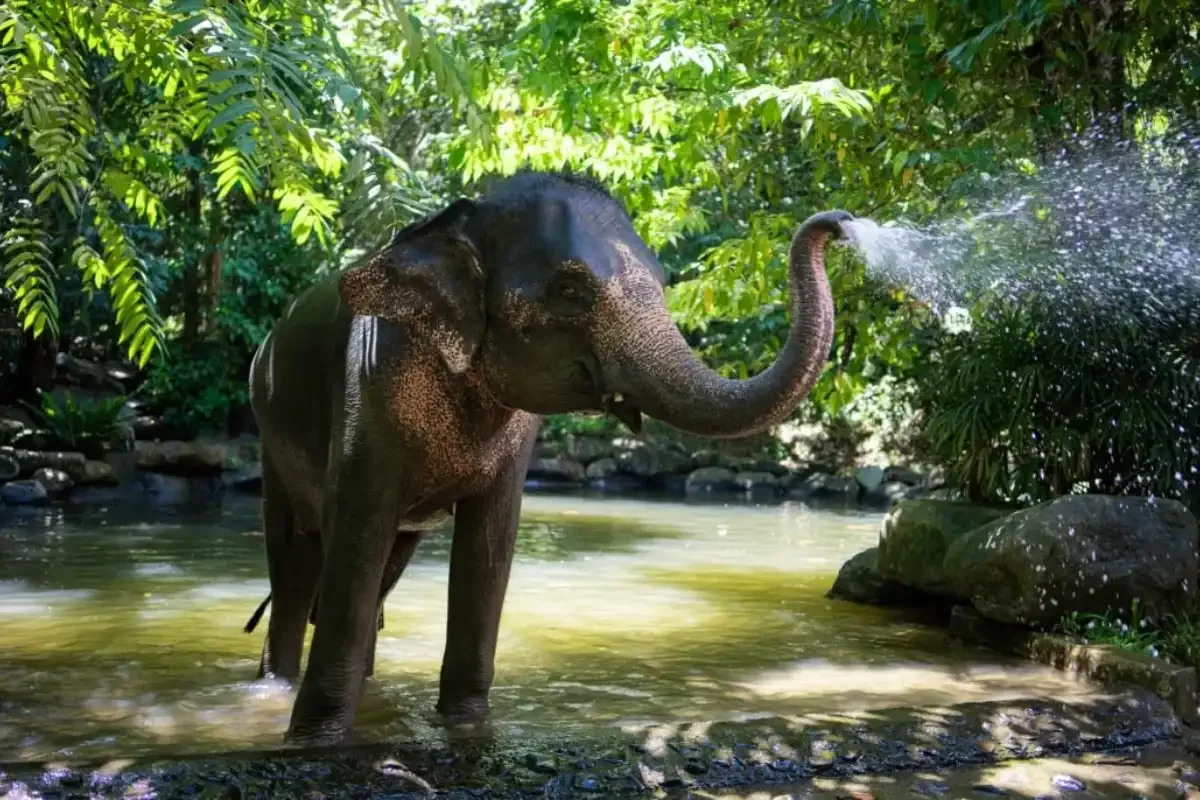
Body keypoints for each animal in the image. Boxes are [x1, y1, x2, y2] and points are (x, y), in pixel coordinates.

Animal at [245, 170, 852, 746]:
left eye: (663, 283)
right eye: (568, 289)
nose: (840, 222)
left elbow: (489, 546)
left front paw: (468, 732)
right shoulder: (369, 385)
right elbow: (358, 533)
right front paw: (315, 745)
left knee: (379, 573)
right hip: (269, 434)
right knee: (297, 567)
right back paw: (274, 685)